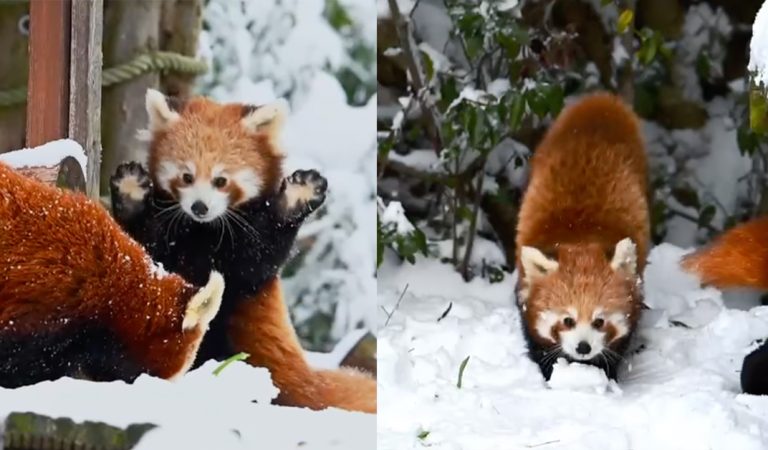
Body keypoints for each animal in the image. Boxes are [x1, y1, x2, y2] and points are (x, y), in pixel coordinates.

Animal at [109, 89, 378, 414]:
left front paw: (297, 196)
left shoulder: (249, 254)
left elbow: (260, 258)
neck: (204, 232)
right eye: (186, 177)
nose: (200, 207)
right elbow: (145, 245)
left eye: (221, 180)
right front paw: (131, 189)